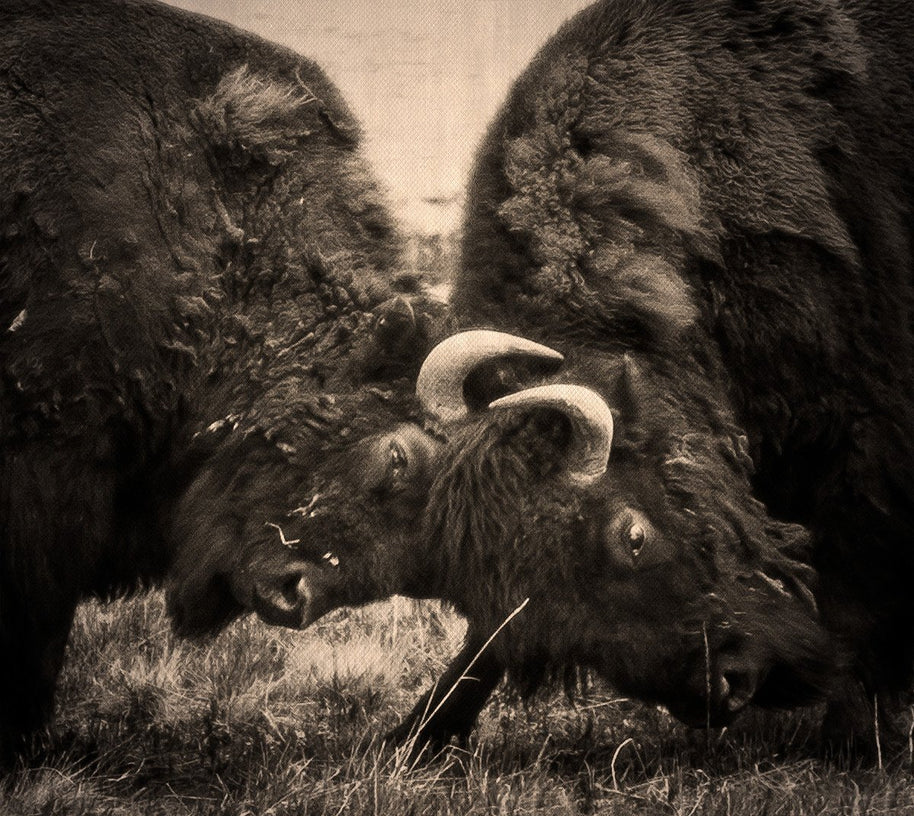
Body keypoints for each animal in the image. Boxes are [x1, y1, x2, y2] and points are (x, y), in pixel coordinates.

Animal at [289, 0, 914, 758]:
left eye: (633, 536)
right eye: (533, 608)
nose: (727, 687)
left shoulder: (862, 443)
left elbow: (860, 582)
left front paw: (857, 738)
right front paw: (415, 736)